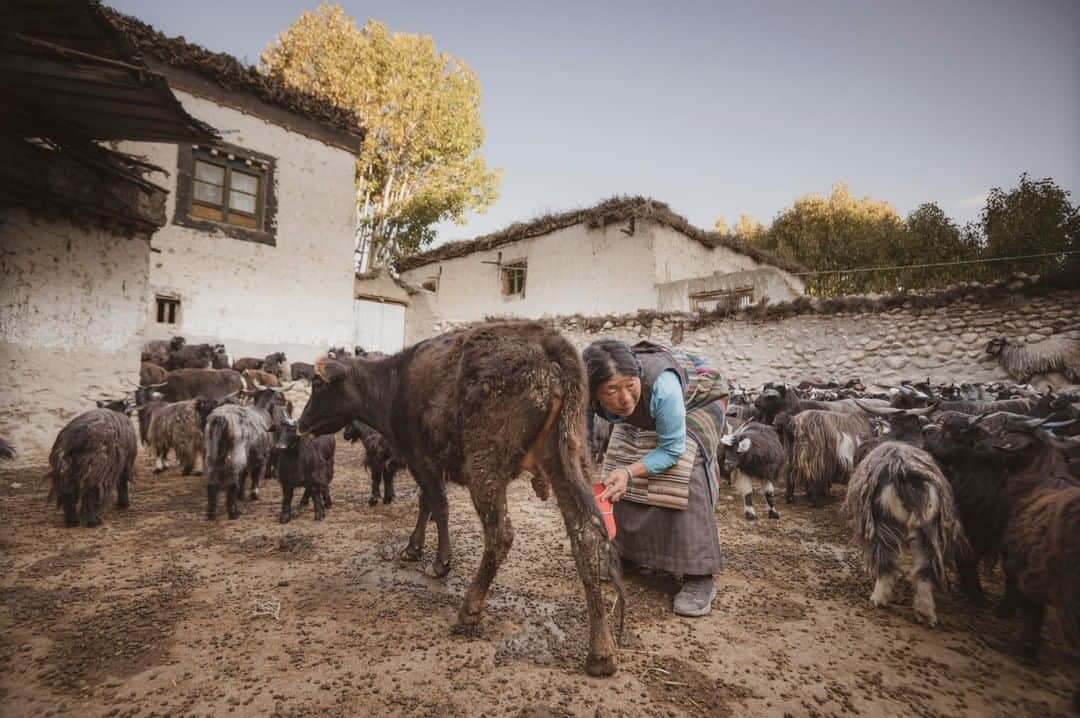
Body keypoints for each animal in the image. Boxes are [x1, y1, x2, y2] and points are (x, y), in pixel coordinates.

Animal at [842, 440, 972, 626]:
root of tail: (905, 472)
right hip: (929, 529)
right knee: (925, 571)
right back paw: (925, 613)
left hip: (884, 522)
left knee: (886, 563)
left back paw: (878, 598)